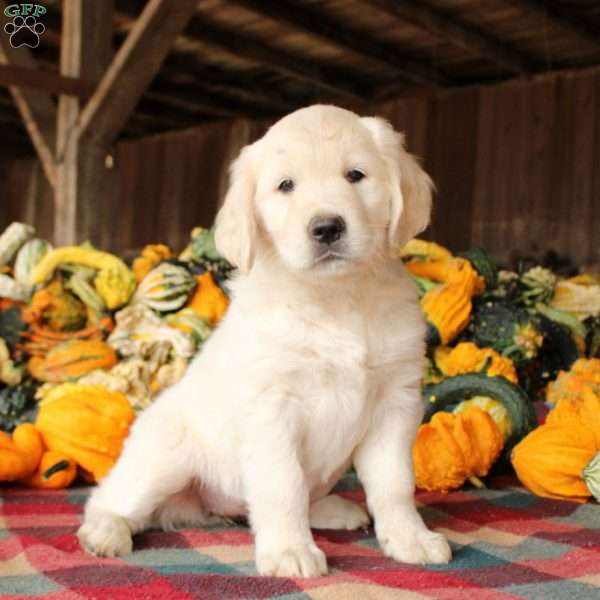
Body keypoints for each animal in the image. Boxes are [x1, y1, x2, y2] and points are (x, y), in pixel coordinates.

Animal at [78, 104, 450, 576]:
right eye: (285, 186)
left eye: (356, 175)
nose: (327, 228)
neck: (335, 299)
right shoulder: (271, 407)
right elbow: (282, 484)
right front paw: (290, 551)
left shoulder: (395, 401)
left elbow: (395, 482)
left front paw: (410, 538)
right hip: (163, 456)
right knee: (110, 498)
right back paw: (104, 532)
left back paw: (332, 509)